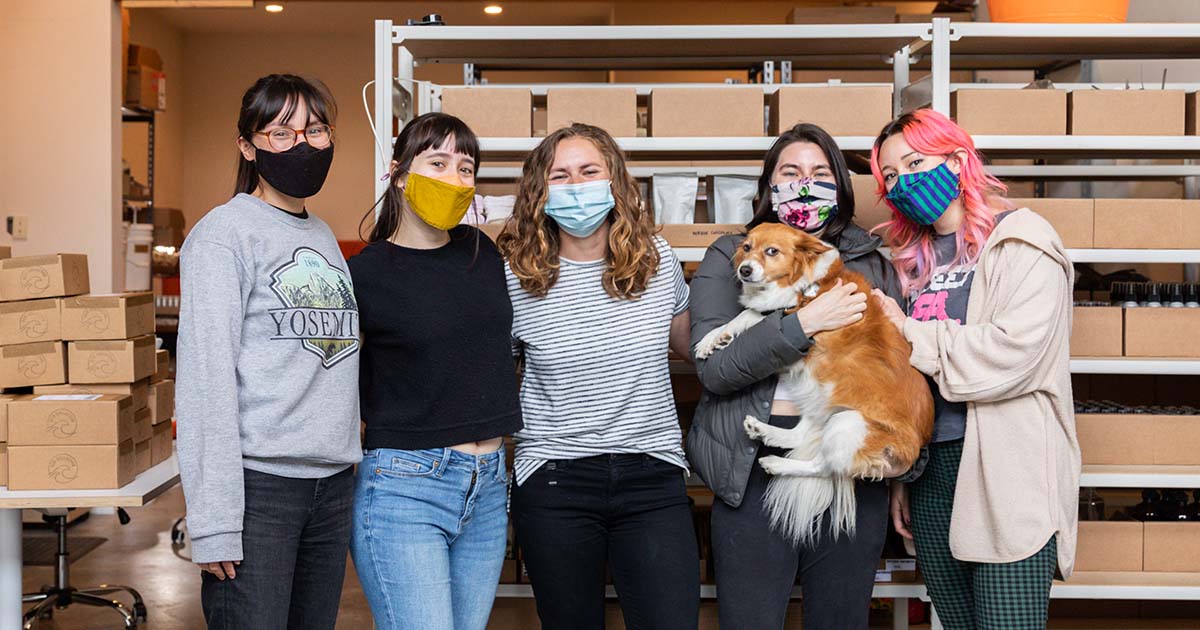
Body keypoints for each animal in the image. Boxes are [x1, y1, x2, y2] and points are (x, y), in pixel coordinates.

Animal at [691, 223, 931, 542]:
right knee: (799, 435)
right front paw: (713, 339)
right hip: (821, 399)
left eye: (772, 251)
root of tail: (915, 447)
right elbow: (746, 315)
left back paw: (777, 463)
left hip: (849, 422)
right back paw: (764, 431)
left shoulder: (796, 320)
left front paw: (721, 334)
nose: (745, 270)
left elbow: (753, 314)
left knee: (823, 466)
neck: (805, 283)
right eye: (747, 247)